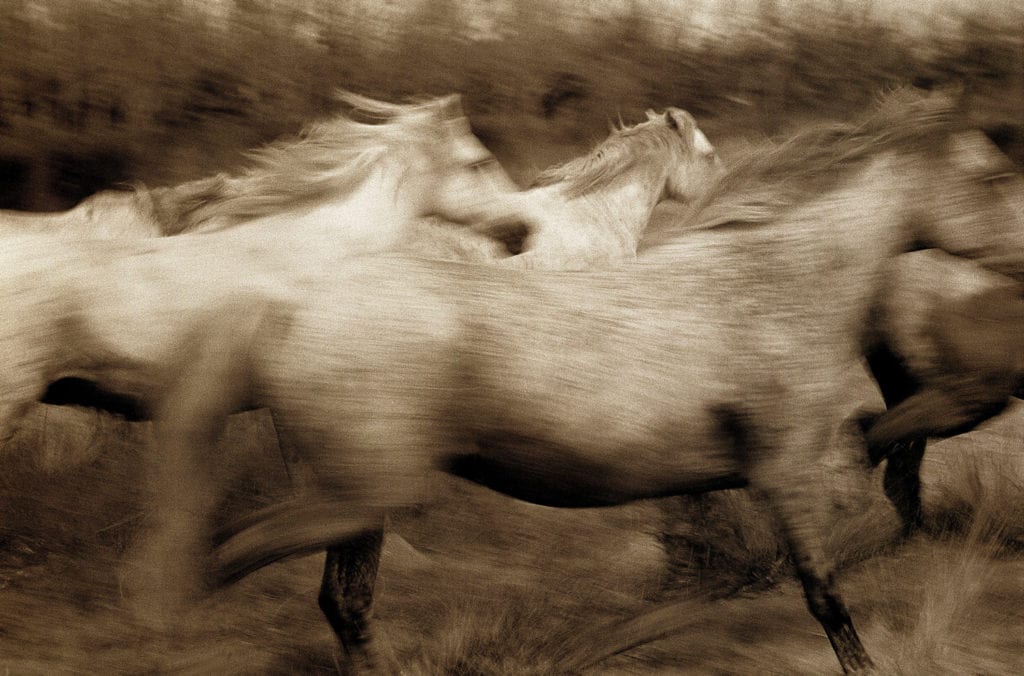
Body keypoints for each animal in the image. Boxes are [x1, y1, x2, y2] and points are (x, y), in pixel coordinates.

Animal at [142, 87, 1024, 673]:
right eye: (989, 179)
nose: (1019, 262)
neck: (771, 282)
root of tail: (288, 304)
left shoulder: (793, 465)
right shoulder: (788, 468)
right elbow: (825, 590)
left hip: (358, 501)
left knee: (335, 599)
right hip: (362, 493)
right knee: (226, 561)